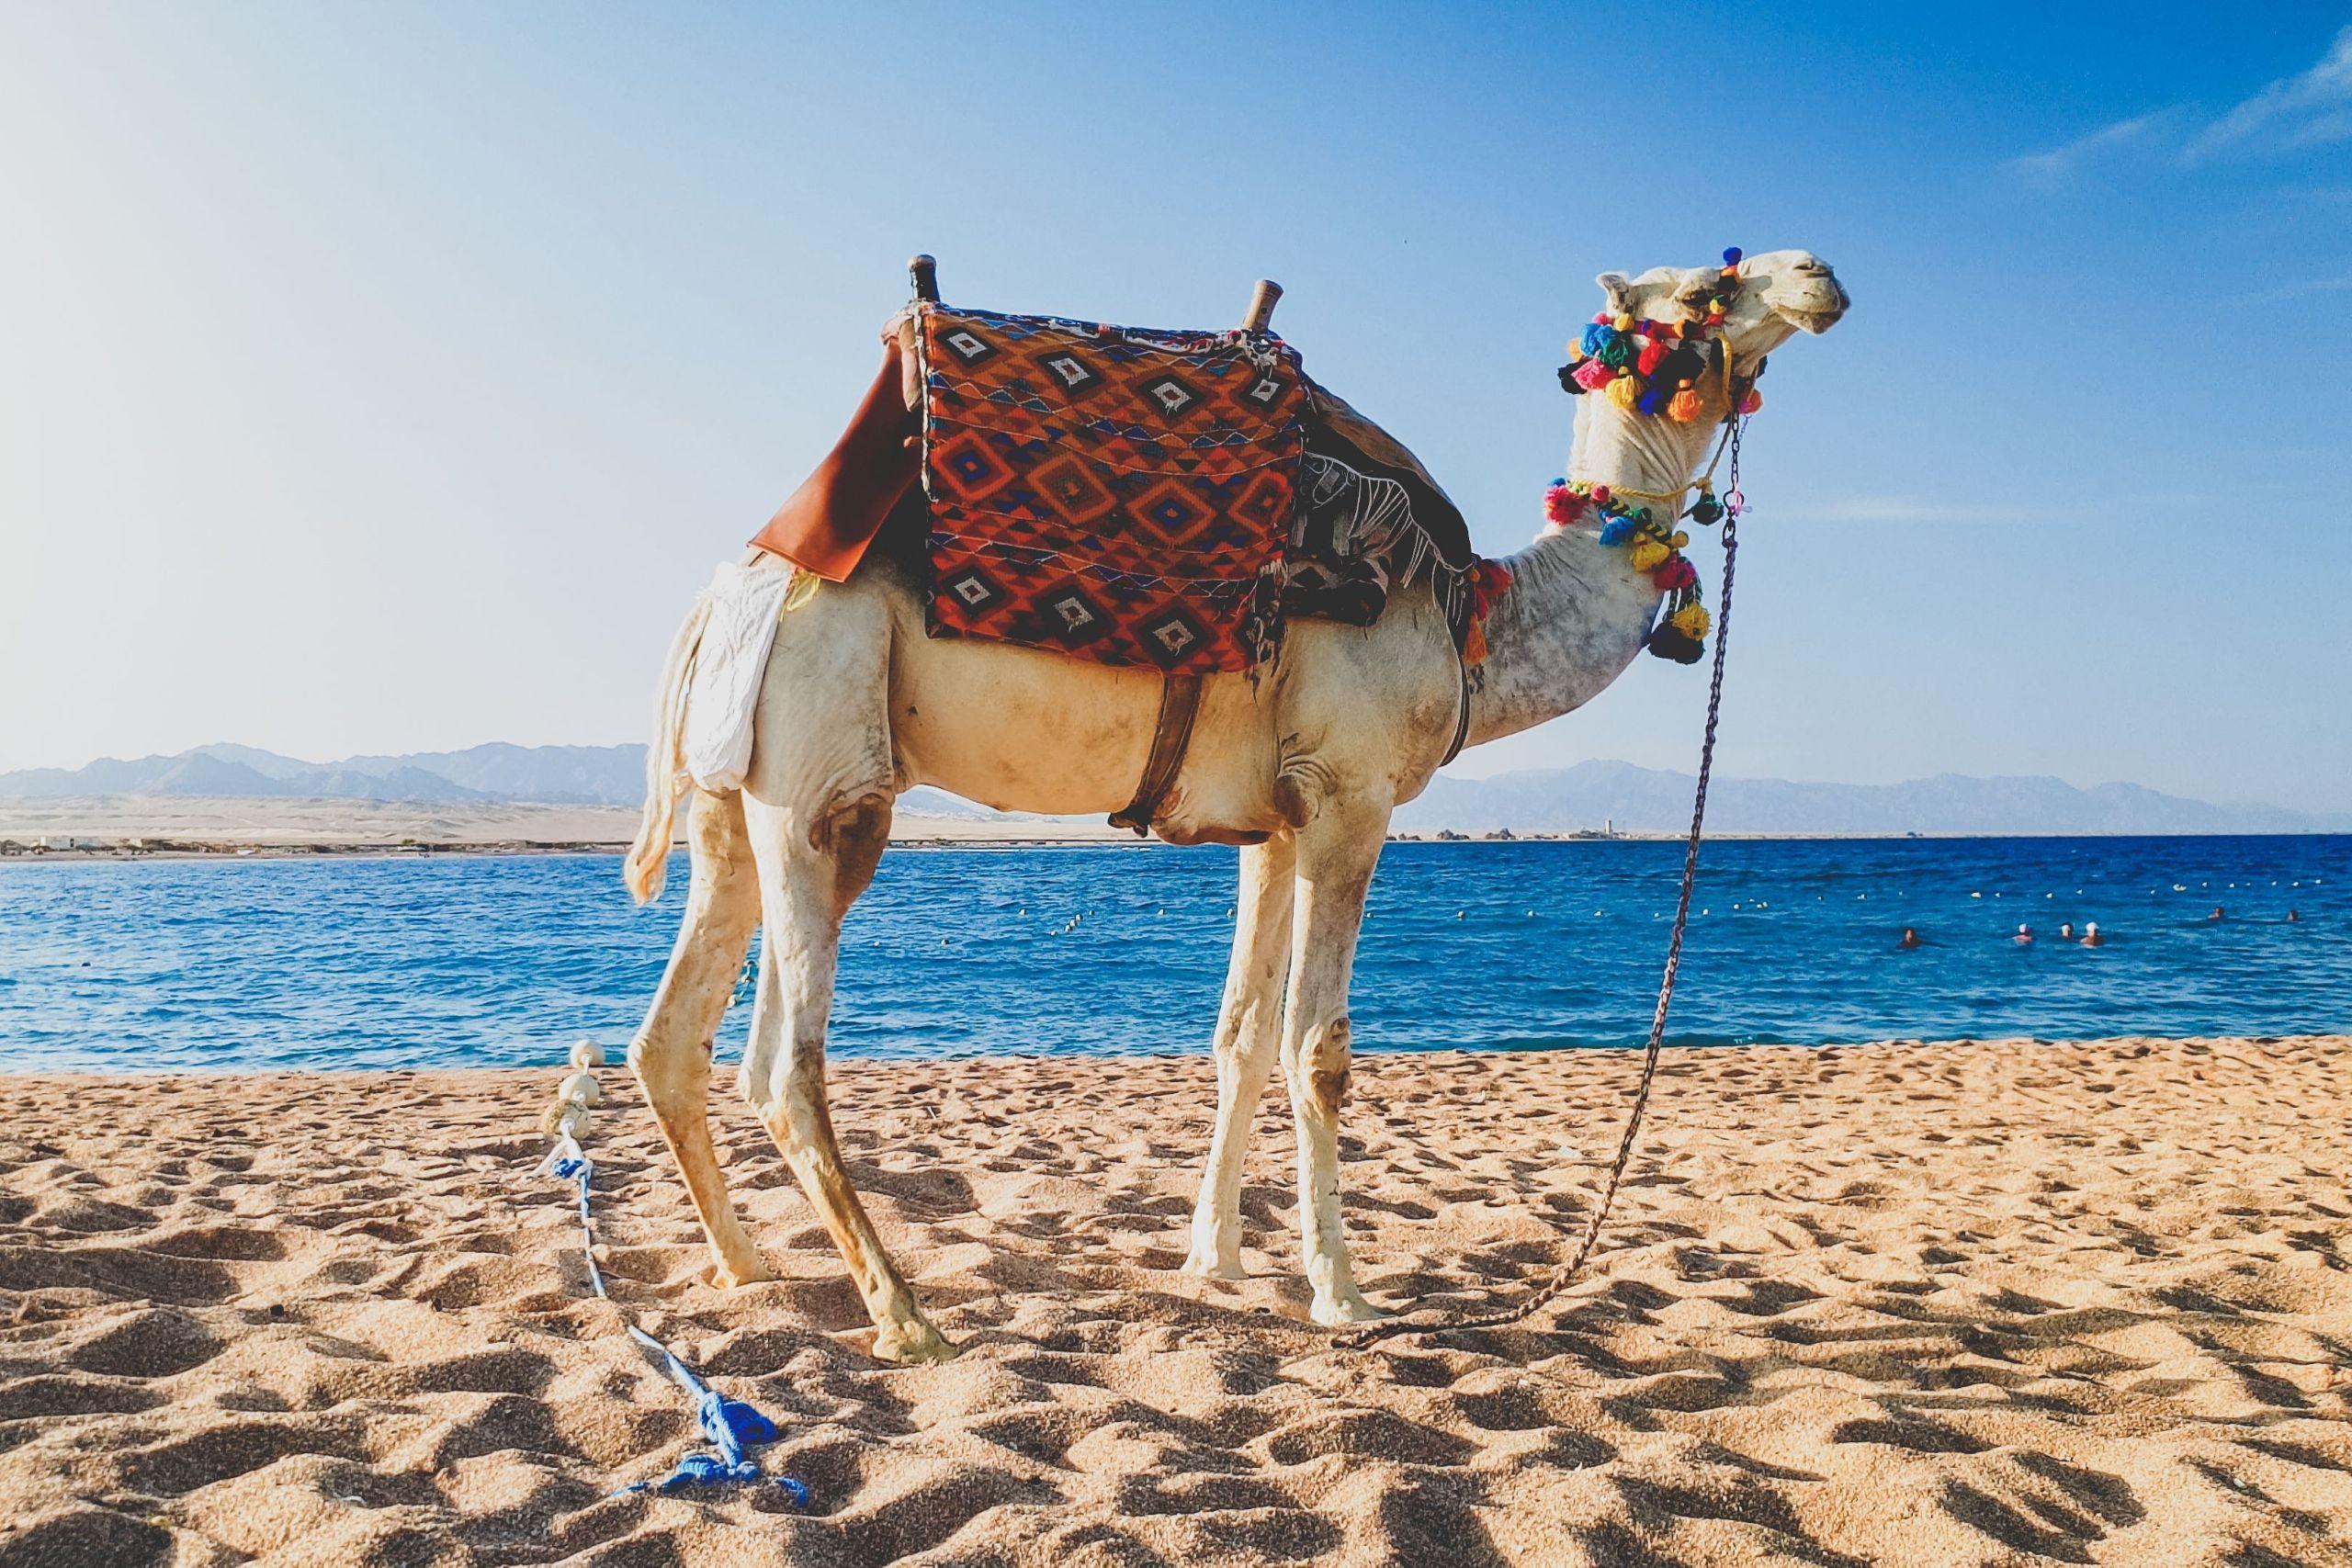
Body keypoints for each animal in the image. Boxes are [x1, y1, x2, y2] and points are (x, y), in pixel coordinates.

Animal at [621, 251, 1849, 1363]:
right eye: (1703, 290)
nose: (1818, 277)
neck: (1469, 617)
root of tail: (720, 596)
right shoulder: (1351, 797)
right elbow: (1320, 1050)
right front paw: (1342, 1295)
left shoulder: (1273, 822)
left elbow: (1240, 1039)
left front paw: (1214, 1260)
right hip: (825, 785)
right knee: (785, 1063)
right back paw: (904, 1314)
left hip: (739, 805)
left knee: (675, 1040)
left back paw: (749, 1268)